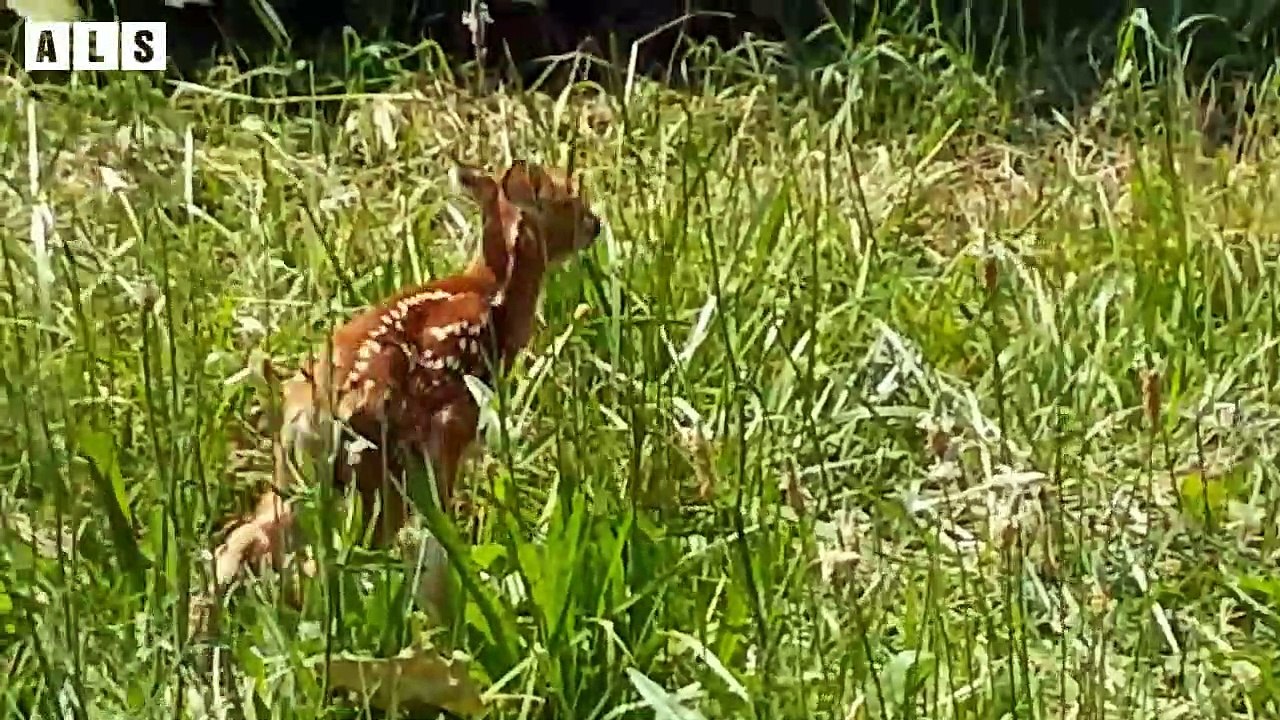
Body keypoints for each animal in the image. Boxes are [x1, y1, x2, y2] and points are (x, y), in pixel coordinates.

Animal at [209, 159, 602, 617]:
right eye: (566, 201)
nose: (595, 224)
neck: (492, 292)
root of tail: (313, 416)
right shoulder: (451, 429)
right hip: (379, 470)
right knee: (345, 553)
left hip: (296, 473)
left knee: (245, 540)